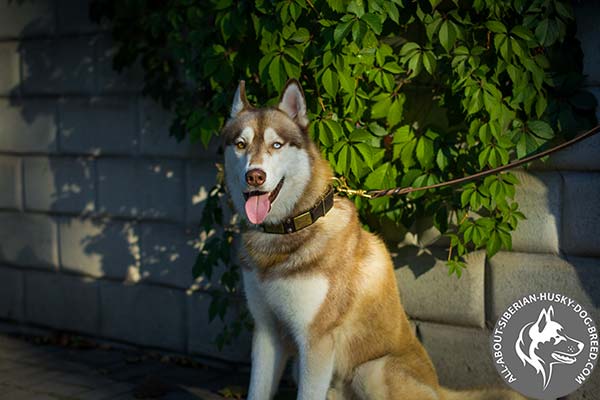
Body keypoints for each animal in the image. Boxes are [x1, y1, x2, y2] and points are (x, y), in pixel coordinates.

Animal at [221, 79, 524, 400]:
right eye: (240, 144)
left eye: (276, 145)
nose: (255, 176)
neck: (288, 230)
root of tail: (440, 389)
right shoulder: (267, 332)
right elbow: (257, 389)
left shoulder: (316, 340)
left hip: (371, 370)